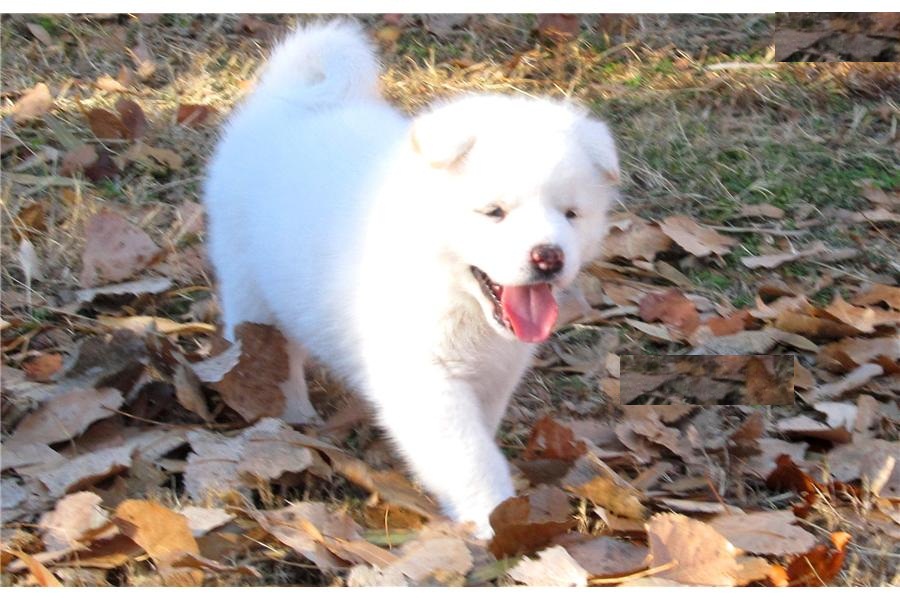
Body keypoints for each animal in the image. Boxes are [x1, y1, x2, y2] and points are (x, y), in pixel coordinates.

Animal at [206, 18, 620, 536]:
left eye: (571, 214)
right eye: (494, 212)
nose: (549, 257)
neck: (457, 298)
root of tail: (289, 96)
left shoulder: (493, 375)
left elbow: (479, 434)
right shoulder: (425, 378)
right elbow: (469, 456)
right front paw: (492, 518)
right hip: (247, 281)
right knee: (269, 350)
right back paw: (289, 412)